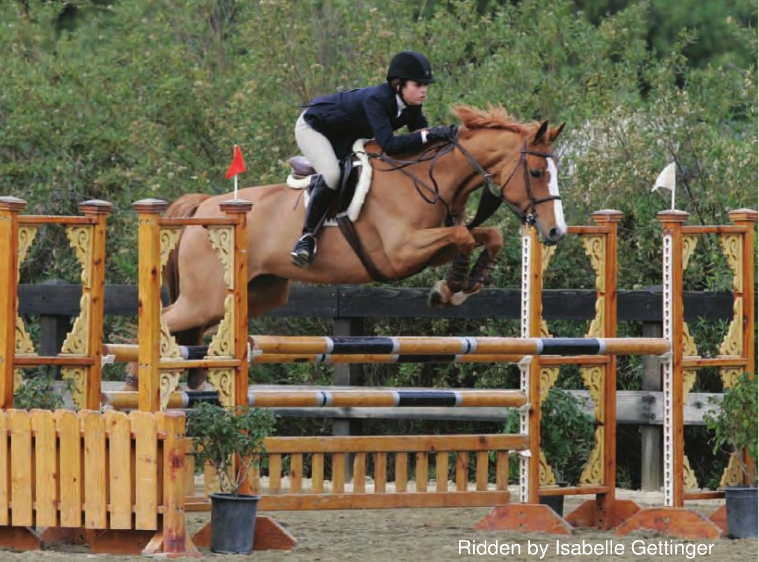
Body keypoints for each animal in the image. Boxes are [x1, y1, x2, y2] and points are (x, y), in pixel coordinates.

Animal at [127, 105, 566, 390]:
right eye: (536, 172)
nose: (556, 231)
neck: (430, 176)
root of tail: (204, 206)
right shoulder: (401, 252)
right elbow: (463, 237)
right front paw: (449, 289)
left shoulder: (429, 246)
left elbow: (485, 236)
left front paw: (464, 285)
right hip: (204, 297)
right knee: (163, 318)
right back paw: (135, 377)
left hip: (255, 293)